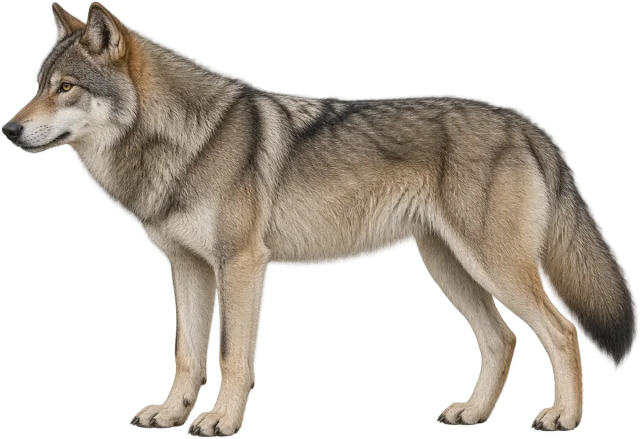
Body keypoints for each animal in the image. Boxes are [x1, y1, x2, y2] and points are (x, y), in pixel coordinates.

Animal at [2, 1, 637, 436]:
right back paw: (474, 413)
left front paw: (221, 421)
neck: (178, 143)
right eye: (35, 88)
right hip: (449, 269)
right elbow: (186, 355)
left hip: (492, 268)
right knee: (502, 339)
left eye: (66, 88)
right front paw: (171, 413)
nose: (8, 128)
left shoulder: (241, 266)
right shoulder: (188, 270)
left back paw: (563, 418)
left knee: (562, 331)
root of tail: (529, 125)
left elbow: (232, 355)